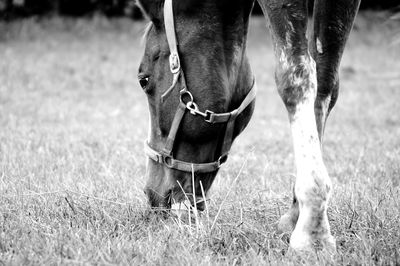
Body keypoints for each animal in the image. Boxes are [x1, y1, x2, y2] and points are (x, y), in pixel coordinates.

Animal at [136, 0, 360, 254]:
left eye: (143, 80)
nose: (151, 194)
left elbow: (296, 76)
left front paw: (312, 231)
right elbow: (324, 82)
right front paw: (296, 215)